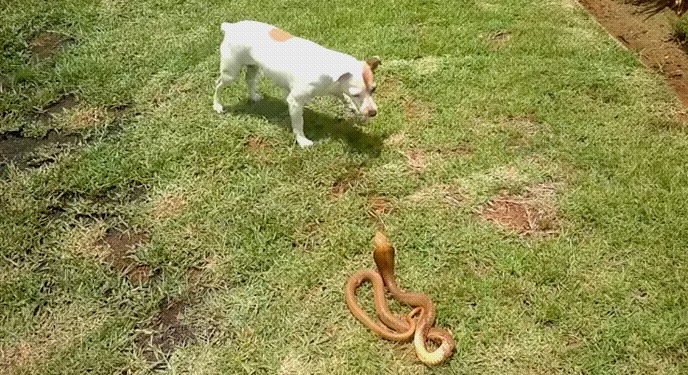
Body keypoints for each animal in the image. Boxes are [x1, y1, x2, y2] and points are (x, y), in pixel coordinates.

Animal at [212, 20, 378, 147]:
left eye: (373, 90)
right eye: (357, 94)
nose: (373, 112)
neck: (329, 69)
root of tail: (231, 27)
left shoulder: (335, 88)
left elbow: (343, 97)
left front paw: (351, 106)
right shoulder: (295, 102)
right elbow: (298, 124)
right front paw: (302, 141)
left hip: (253, 67)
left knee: (249, 80)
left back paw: (253, 96)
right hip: (230, 73)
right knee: (218, 85)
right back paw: (217, 105)